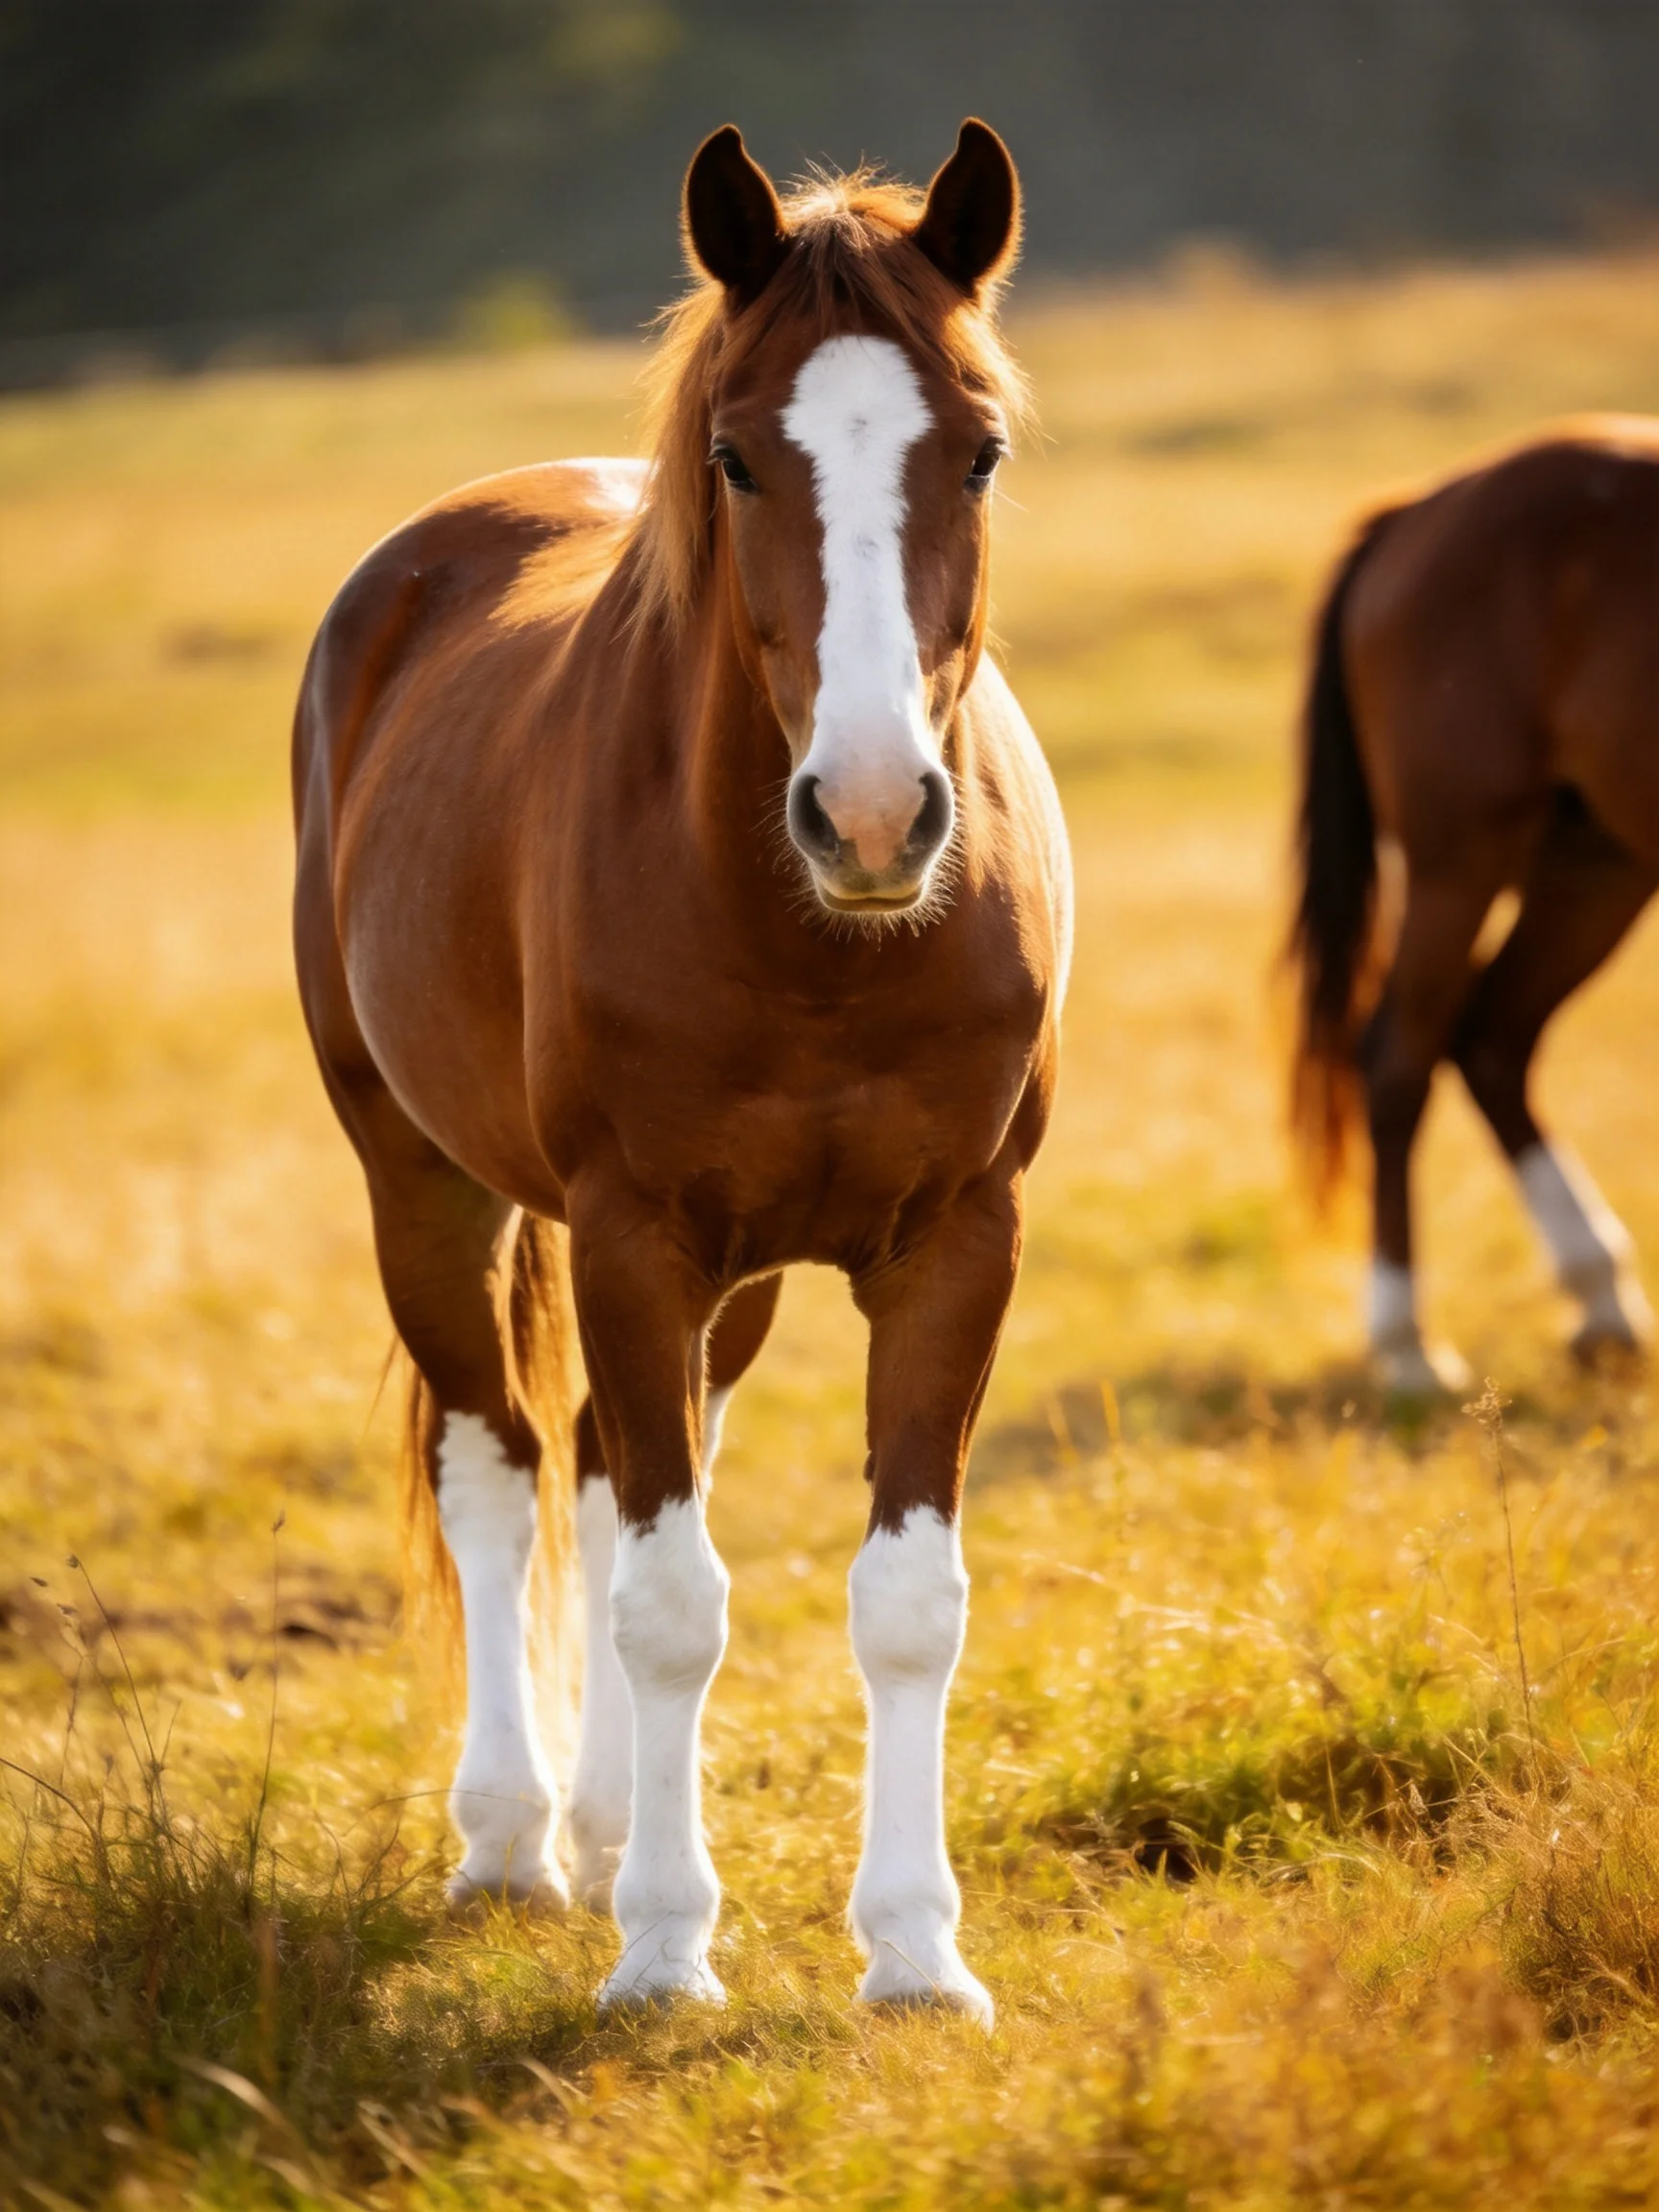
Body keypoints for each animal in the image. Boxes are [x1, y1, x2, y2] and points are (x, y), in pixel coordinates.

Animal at [292, 119, 1071, 2023]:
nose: (869, 814)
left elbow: (902, 1600)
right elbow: (665, 1604)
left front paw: (915, 1953)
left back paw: (584, 1829)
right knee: (500, 1475)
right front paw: (661, 1947)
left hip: (740, 1278)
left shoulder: (954, 1241)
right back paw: (512, 1840)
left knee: (601, 1461)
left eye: (980, 447)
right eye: (733, 454)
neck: (818, 939)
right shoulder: (633, 1234)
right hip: (425, 1185)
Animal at [1288, 418, 1658, 1393]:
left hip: (1592, 863)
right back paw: (1406, 1345)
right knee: (1400, 1055)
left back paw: (1602, 1298)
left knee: (1494, 1035)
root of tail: (1417, 509)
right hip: (1460, 861)